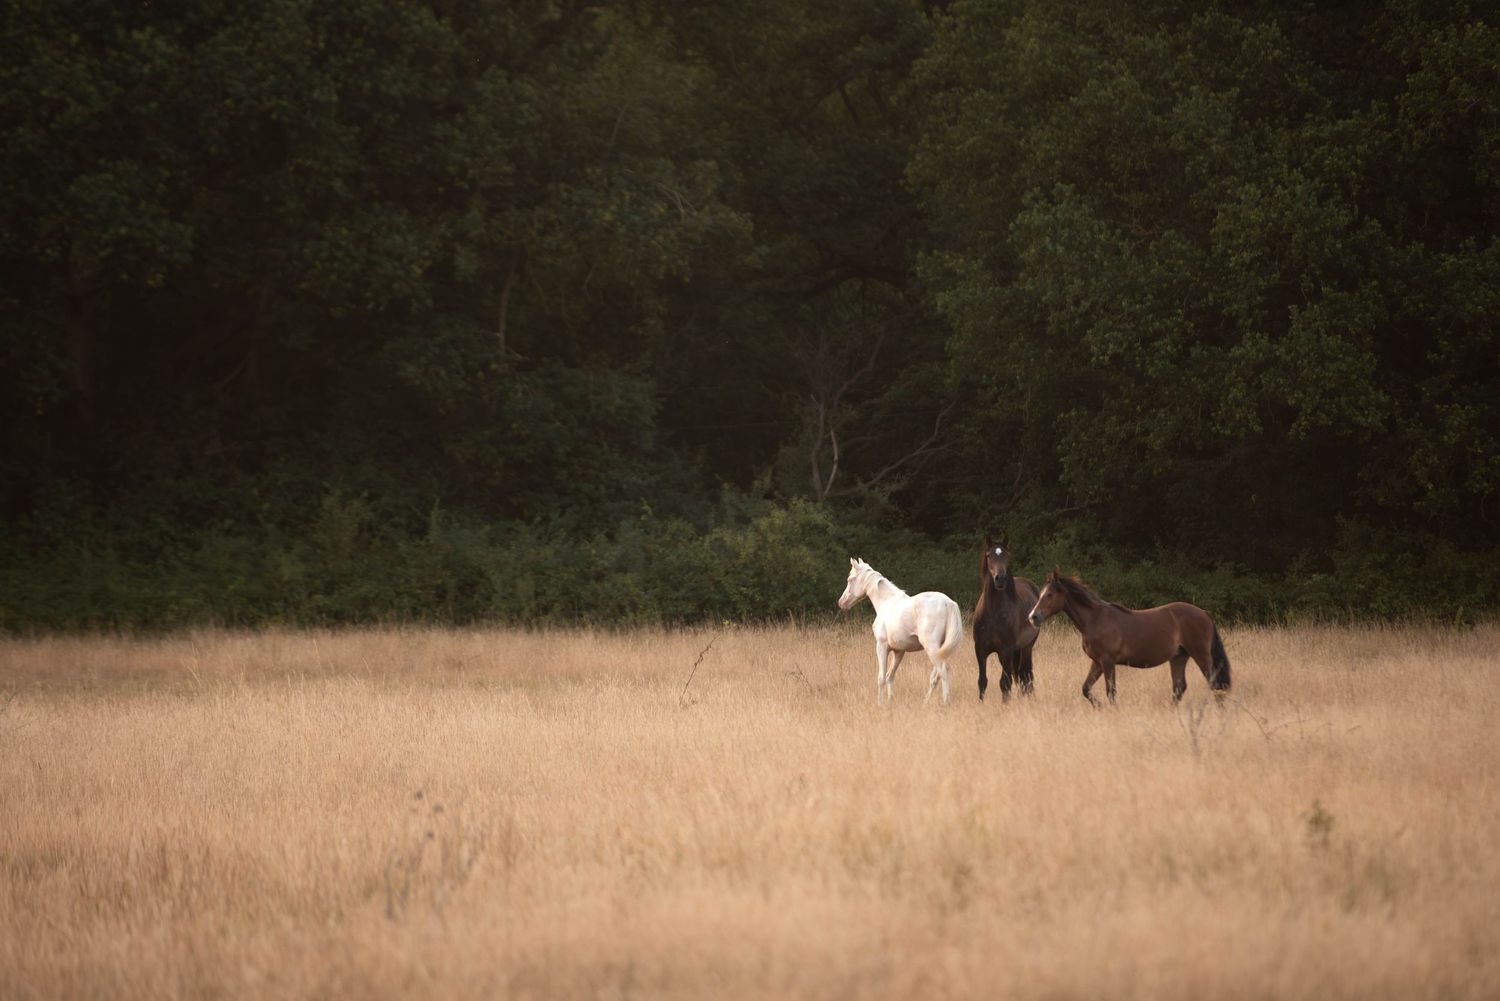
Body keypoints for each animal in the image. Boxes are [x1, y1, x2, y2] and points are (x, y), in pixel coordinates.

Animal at [837, 557, 963, 705]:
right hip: (940, 649)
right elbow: (890, 676)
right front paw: (890, 701)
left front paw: (880, 704)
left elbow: (881, 678)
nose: (841, 602)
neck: (886, 602)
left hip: (931, 647)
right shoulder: (899, 651)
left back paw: (945, 701)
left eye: (850, 579)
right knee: (936, 676)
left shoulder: (882, 647)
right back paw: (925, 703)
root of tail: (948, 603)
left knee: (943, 671)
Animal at [972, 535, 1040, 702]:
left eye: (1006, 556)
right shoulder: (980, 650)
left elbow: (1005, 682)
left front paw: (1005, 705)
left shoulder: (1006, 650)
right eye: (989, 555)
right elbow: (982, 681)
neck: (992, 613)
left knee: (1025, 674)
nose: (1000, 579)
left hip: (1026, 647)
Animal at [1026, 570, 1231, 706]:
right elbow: (1086, 688)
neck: (1094, 619)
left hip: (1200, 655)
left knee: (1214, 684)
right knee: (1179, 687)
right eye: (1042, 593)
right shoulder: (1097, 662)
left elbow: (1111, 692)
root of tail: (1204, 614)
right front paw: (1099, 706)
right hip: (1179, 657)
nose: (1033, 617)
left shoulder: (1108, 661)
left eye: (1049, 594)